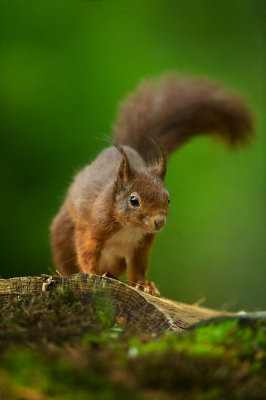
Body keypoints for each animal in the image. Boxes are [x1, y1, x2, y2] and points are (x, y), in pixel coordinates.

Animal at [51, 73, 255, 296]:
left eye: (168, 199)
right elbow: (86, 249)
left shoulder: (142, 244)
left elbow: (138, 267)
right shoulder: (94, 224)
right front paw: (94, 274)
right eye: (134, 200)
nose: (159, 222)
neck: (129, 227)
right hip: (63, 235)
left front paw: (144, 285)